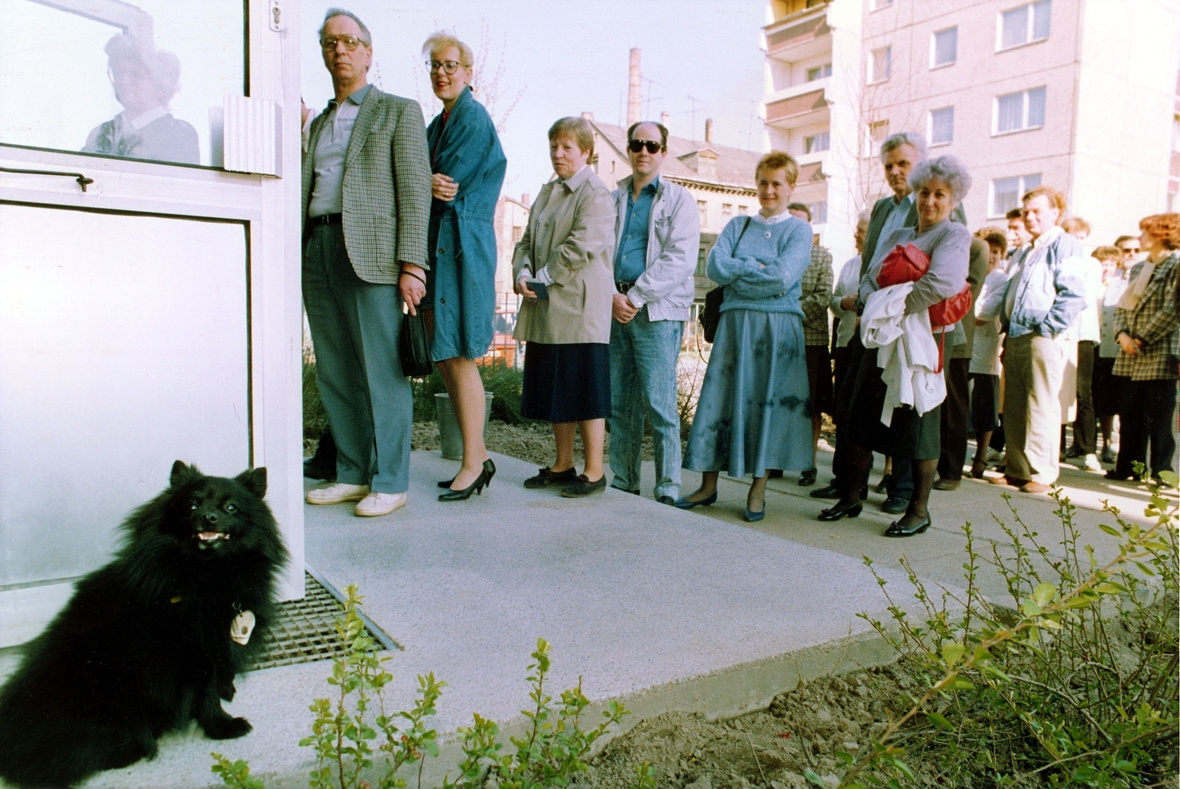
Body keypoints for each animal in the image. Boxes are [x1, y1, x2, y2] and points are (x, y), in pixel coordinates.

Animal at [0, 457, 287, 783]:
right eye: (191, 505)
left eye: (231, 507)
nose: (208, 517)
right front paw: (222, 725)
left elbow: (217, 678)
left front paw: (225, 692)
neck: (206, 573)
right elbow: (206, 694)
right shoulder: (194, 651)